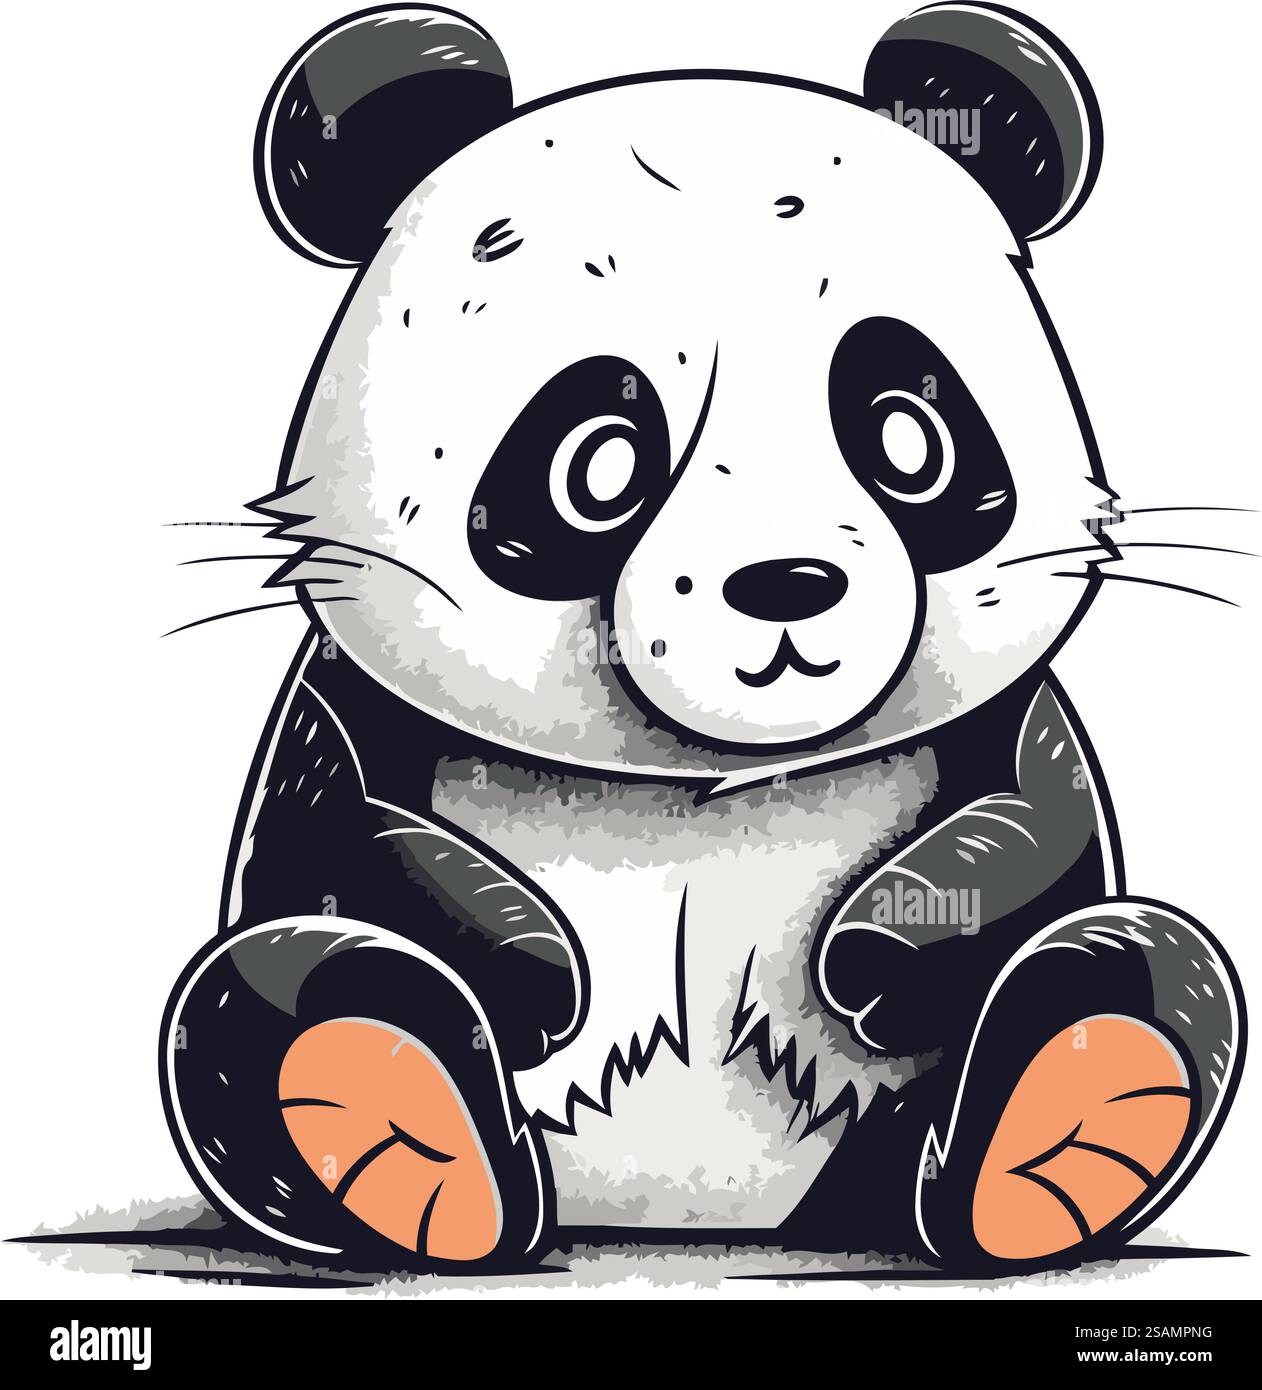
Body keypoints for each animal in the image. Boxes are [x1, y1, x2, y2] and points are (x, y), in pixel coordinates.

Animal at [161, 4, 1244, 1271]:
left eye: (908, 435)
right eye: (596, 460)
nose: (785, 582)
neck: (702, 787)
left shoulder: (1005, 717)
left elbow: (1037, 813)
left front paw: (869, 956)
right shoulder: (350, 694)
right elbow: (343, 820)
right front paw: (535, 966)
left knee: (1134, 967)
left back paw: (1067, 1118)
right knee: (268, 996)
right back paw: (405, 1133)